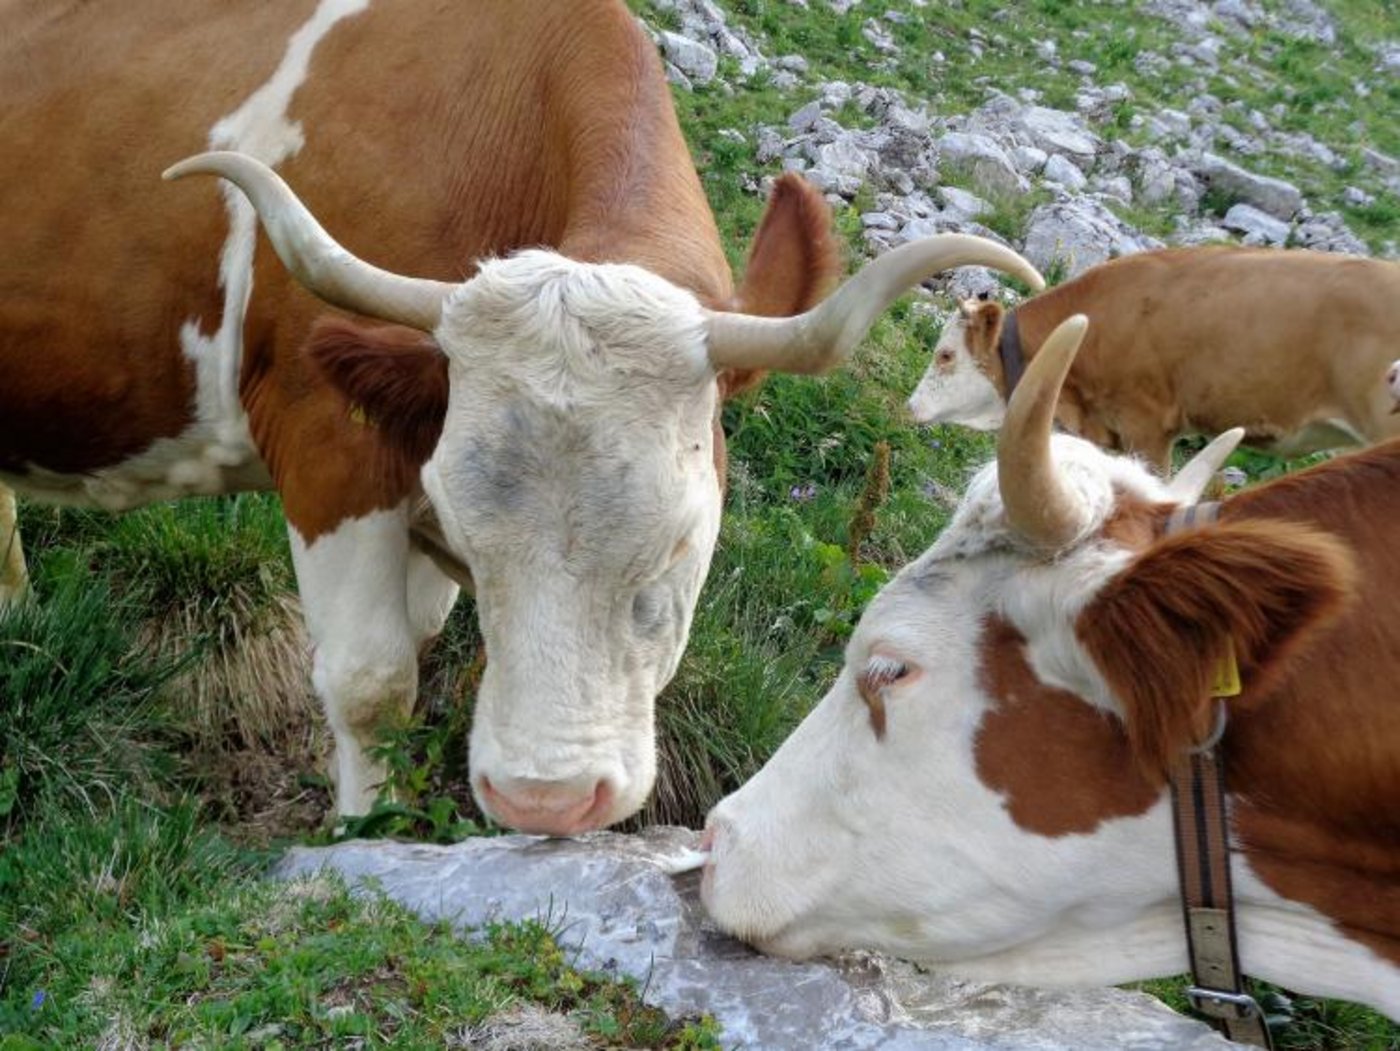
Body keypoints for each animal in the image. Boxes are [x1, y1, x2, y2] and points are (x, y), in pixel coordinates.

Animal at [0, 0, 1043, 833]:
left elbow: (417, 649)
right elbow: (371, 678)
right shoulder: (328, 436)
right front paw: (365, 830)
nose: (546, 801)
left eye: (678, 544)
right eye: (471, 535)